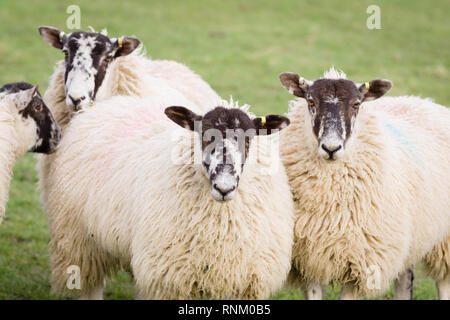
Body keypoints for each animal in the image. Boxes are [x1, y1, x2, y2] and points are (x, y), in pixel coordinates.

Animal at [42, 95, 296, 300]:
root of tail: (113, 102)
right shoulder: (172, 279)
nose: (224, 187)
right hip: (79, 241)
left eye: (248, 139)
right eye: (204, 137)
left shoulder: (245, 283)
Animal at [280, 68, 448, 300]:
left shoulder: (361, 264)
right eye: (311, 101)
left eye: (356, 104)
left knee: (443, 282)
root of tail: (423, 101)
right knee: (405, 278)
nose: (331, 148)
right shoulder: (308, 259)